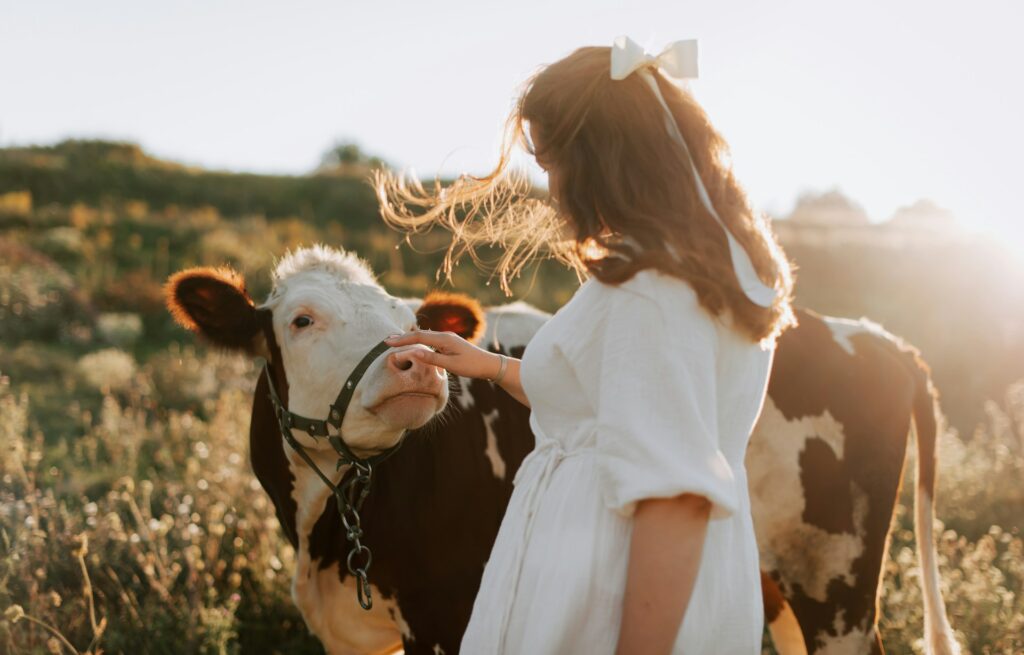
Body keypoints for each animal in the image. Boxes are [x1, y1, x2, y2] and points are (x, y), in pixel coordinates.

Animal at [165, 245, 957, 655]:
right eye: (301, 319)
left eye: (405, 316)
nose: (418, 363)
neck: (324, 533)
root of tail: (879, 338)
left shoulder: (444, 617)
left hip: (835, 589)